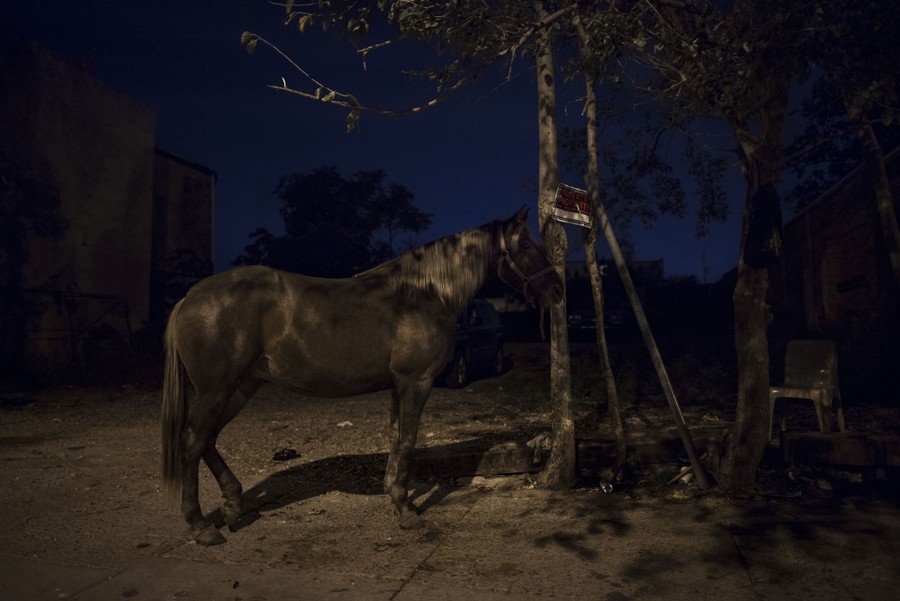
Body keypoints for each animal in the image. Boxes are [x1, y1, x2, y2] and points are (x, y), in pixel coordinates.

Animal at [161, 206, 563, 545]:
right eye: (526, 244)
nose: (556, 289)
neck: (424, 294)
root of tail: (189, 298)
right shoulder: (416, 383)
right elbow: (407, 442)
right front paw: (408, 512)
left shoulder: (399, 387)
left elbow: (396, 440)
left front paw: (395, 499)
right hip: (216, 390)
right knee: (193, 441)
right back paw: (201, 525)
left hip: (242, 386)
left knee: (207, 439)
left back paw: (232, 506)